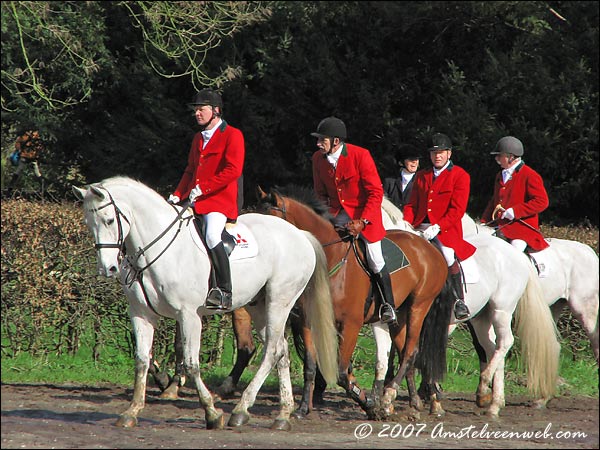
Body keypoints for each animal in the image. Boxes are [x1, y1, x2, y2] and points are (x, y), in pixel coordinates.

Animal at [72, 177, 338, 432]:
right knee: (280, 349)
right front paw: (131, 412)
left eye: (108, 220)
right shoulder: (141, 314)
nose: (108, 269)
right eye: (88, 223)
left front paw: (212, 414)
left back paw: (241, 410)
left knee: (272, 351)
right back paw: (282, 415)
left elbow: (191, 365)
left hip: (279, 301)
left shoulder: (188, 315)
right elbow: (141, 361)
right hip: (259, 306)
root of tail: (300, 234)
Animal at [255, 184, 452, 418]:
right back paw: (411, 402)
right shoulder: (308, 322)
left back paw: (389, 397)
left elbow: (341, 372)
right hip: (401, 314)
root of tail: (428, 247)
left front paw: (369, 404)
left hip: (419, 307)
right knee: (407, 351)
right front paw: (303, 408)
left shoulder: (351, 324)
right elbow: (311, 366)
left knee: (409, 352)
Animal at [378, 199, 560, 416]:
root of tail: (516, 253)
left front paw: (429, 397)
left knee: (504, 342)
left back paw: (486, 391)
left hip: (502, 309)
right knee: (491, 347)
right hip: (481, 317)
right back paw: (493, 400)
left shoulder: (429, 321)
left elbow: (421, 355)